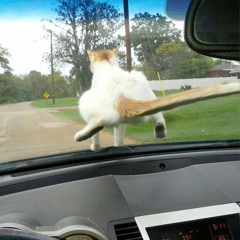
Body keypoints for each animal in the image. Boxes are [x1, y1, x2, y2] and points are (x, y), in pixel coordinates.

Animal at [74, 47, 240, 151]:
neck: (109, 67)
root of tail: (123, 97)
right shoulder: (122, 125)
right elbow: (119, 138)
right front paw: (118, 146)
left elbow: (101, 138)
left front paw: (96, 147)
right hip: (146, 91)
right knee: (159, 117)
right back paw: (160, 131)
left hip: (85, 101)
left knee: (99, 123)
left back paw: (81, 136)